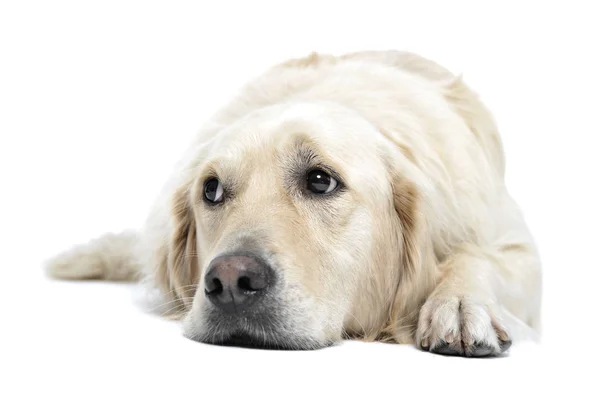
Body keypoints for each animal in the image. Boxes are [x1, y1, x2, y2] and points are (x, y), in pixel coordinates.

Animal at [49, 50, 540, 356]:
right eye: (211, 190)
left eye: (321, 181)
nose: (231, 281)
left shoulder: (513, 243)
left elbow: (478, 255)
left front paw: (458, 305)